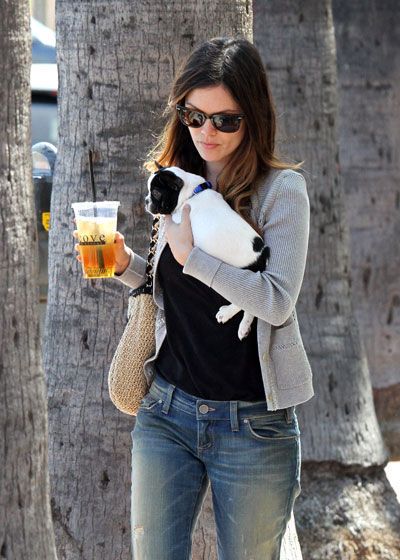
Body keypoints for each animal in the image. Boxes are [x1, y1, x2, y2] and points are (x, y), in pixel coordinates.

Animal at [144, 165, 268, 342]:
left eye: (155, 193)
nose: (146, 200)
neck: (191, 193)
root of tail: (262, 255)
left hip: (242, 279)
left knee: (244, 301)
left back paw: (226, 313)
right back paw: (244, 327)